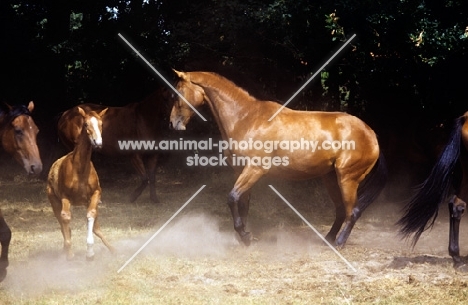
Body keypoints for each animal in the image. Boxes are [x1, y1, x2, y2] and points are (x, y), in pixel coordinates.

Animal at [170, 70, 386, 246]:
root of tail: (371, 133)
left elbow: (232, 198)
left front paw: (244, 236)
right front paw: (244, 237)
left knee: (352, 211)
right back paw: (328, 239)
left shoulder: (255, 169)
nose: (173, 123)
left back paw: (339, 243)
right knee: (341, 210)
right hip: (331, 178)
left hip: (347, 178)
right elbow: (242, 203)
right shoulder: (242, 171)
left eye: (178, 91)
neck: (246, 118)